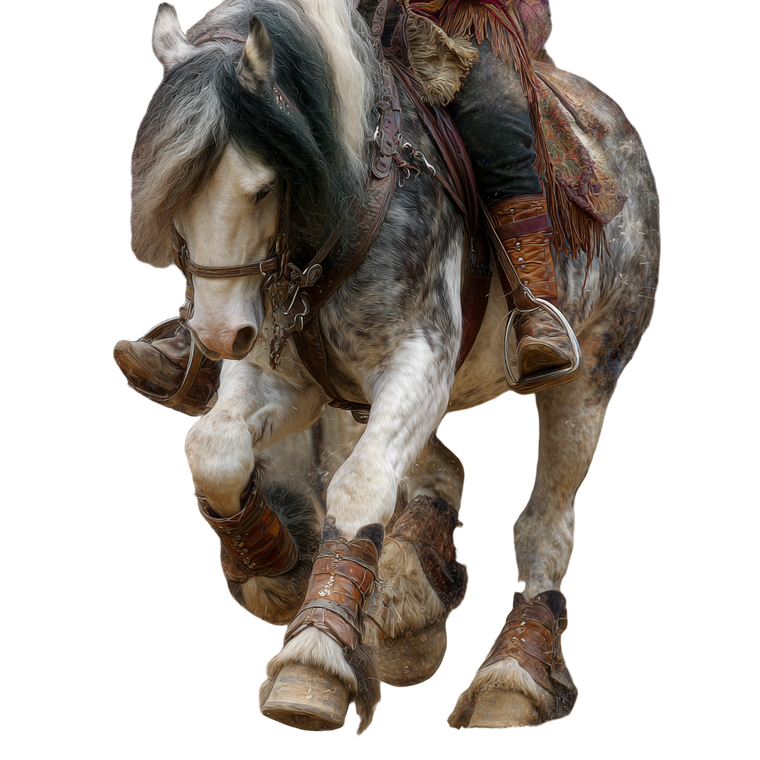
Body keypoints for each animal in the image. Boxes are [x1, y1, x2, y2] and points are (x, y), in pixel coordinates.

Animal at [129, 0, 660, 733]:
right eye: (172, 186)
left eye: (261, 188)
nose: (215, 334)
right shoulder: (289, 380)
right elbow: (214, 448)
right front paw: (275, 563)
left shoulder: (420, 365)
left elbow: (359, 487)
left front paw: (315, 656)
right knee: (436, 472)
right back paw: (409, 587)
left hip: (588, 379)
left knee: (546, 525)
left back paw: (513, 675)